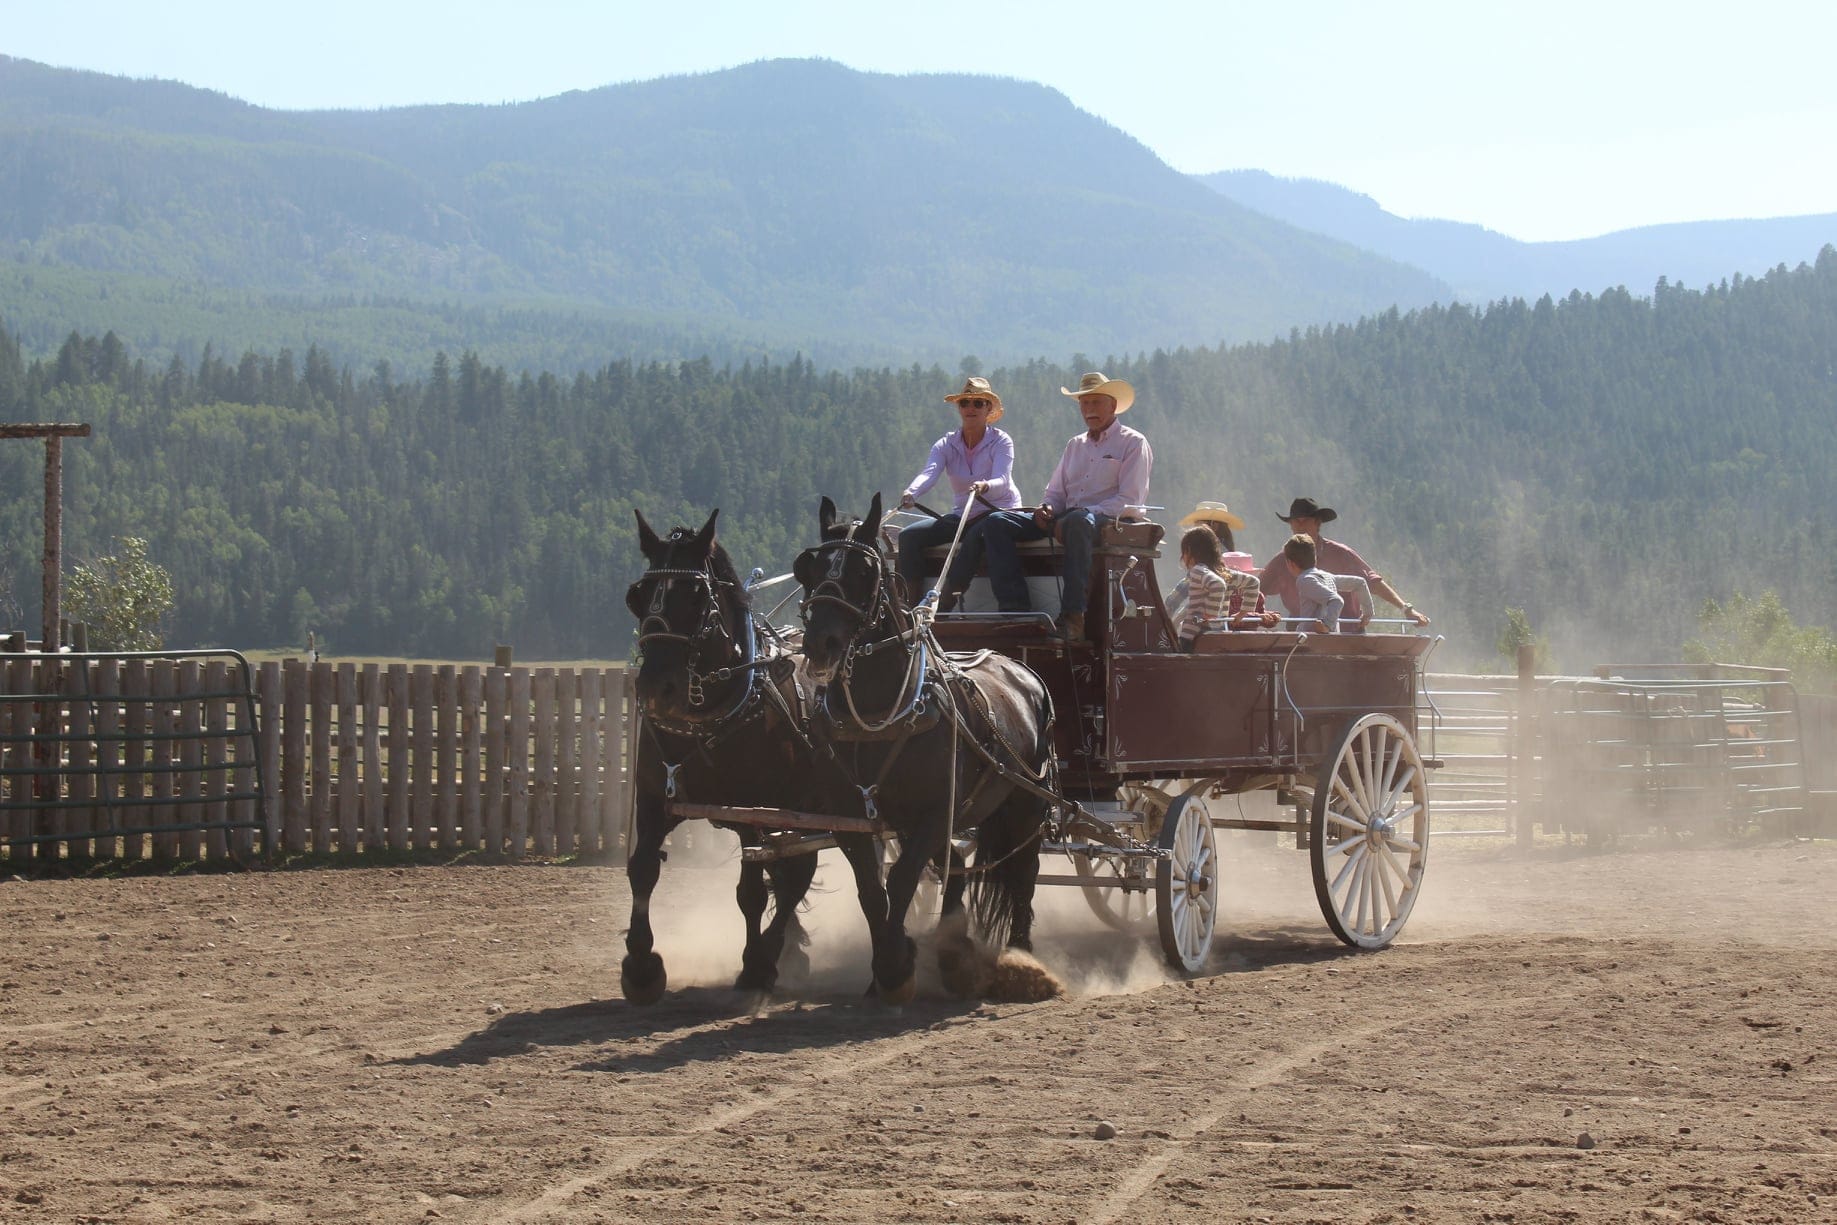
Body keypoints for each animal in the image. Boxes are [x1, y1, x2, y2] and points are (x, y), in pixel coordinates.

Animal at [624, 506, 841, 1006]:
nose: (655, 688)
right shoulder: (655, 800)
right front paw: (642, 966)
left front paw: (755, 965)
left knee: (795, 871)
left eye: (695, 595)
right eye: (638, 595)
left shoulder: (754, 813)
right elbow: (642, 869)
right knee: (792, 870)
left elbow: (751, 892)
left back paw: (772, 957)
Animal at [789, 492, 1065, 999]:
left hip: (1026, 805)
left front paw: (896, 968)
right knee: (956, 866)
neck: (881, 712)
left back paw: (1022, 960)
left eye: (865, 571)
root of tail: (1022, 670)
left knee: (1023, 873)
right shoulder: (852, 820)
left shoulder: (935, 812)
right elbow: (871, 891)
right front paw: (885, 969)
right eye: (809, 569)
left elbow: (900, 882)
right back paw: (953, 953)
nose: (821, 645)